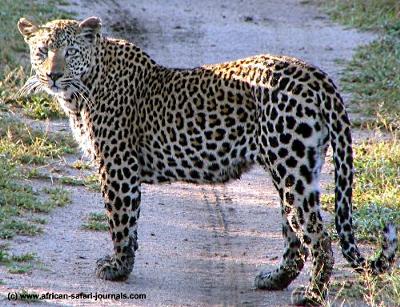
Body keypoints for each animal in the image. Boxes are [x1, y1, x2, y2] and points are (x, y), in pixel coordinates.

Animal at [17, 17, 396, 307]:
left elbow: (121, 220)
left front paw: (118, 268)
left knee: (319, 238)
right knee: (295, 236)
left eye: (69, 52)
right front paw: (124, 264)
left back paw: (310, 296)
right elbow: (128, 222)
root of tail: (316, 75)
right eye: (42, 52)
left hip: (291, 170)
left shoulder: (117, 166)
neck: (83, 89)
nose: (52, 75)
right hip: (296, 171)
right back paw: (273, 280)